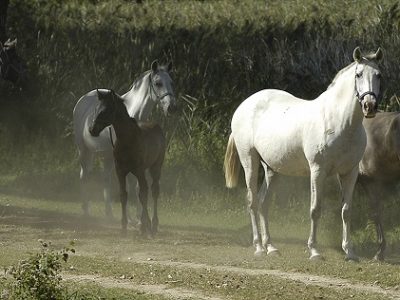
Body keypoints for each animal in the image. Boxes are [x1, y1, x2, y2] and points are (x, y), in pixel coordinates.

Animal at [73, 59, 177, 217]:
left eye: (171, 82)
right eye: (158, 83)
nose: (171, 107)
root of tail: (82, 100)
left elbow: (136, 186)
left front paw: (138, 215)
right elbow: (131, 185)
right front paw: (136, 217)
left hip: (107, 156)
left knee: (106, 179)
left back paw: (109, 213)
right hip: (84, 150)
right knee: (84, 176)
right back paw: (86, 210)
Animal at [89, 89, 166, 237]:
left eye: (106, 110)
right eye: (96, 109)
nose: (92, 129)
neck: (128, 139)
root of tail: (157, 127)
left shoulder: (139, 170)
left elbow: (143, 195)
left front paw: (144, 227)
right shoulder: (120, 171)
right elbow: (124, 195)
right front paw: (124, 228)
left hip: (155, 167)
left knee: (153, 191)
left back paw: (153, 225)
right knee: (142, 191)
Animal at [223, 47, 382, 260]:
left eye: (378, 75)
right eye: (358, 74)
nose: (369, 106)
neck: (338, 122)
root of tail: (243, 106)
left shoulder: (350, 172)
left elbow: (346, 211)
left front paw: (349, 252)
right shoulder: (317, 171)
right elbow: (315, 209)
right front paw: (314, 251)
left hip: (271, 169)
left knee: (264, 203)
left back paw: (271, 247)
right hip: (250, 161)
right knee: (253, 202)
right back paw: (258, 247)